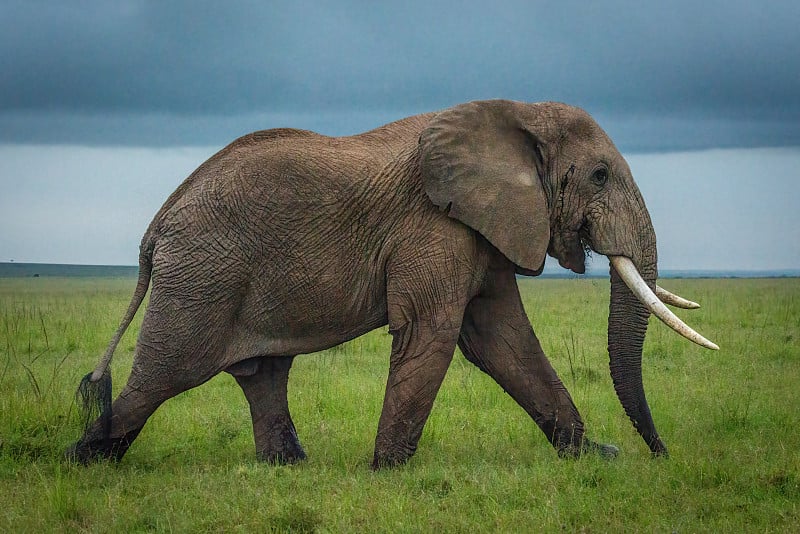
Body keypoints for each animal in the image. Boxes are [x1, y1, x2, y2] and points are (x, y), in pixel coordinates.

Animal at [67, 99, 720, 468]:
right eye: (601, 174)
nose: (660, 457)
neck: (516, 114)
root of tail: (157, 225)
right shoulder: (434, 224)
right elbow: (436, 332)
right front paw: (387, 471)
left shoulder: (481, 226)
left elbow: (502, 339)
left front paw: (594, 458)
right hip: (200, 278)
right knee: (162, 376)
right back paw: (82, 460)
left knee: (262, 373)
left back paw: (288, 467)